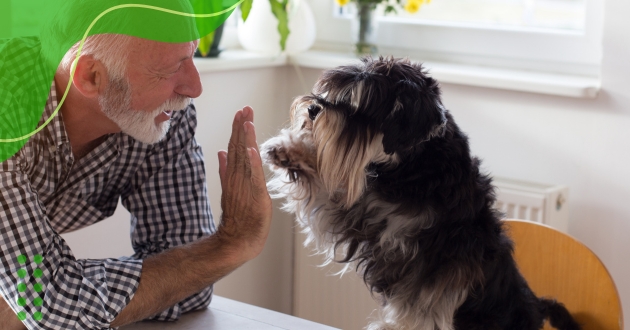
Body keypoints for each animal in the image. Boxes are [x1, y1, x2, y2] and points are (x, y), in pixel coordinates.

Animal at [260, 57, 584, 330]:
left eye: (361, 105)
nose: (313, 109)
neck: (414, 167)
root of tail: (537, 309)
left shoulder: (438, 263)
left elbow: (422, 308)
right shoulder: (362, 214)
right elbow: (326, 189)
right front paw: (288, 150)